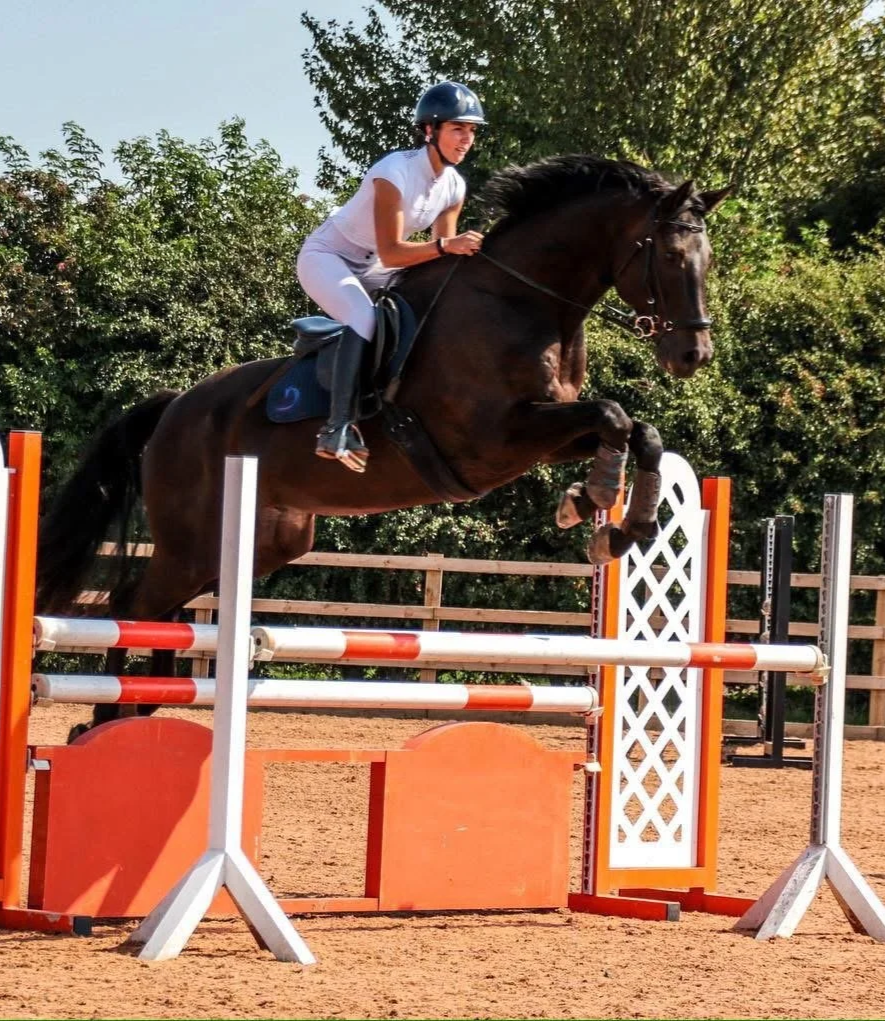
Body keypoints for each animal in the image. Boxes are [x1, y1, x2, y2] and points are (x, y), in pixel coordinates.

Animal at [36, 154, 729, 739]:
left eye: (708, 259)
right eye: (671, 256)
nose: (693, 355)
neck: (522, 300)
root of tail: (173, 410)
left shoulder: (540, 434)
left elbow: (635, 431)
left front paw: (608, 514)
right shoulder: (494, 441)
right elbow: (613, 415)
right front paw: (603, 510)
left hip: (262, 539)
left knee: (170, 611)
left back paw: (142, 705)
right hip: (191, 537)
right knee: (133, 603)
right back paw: (106, 717)